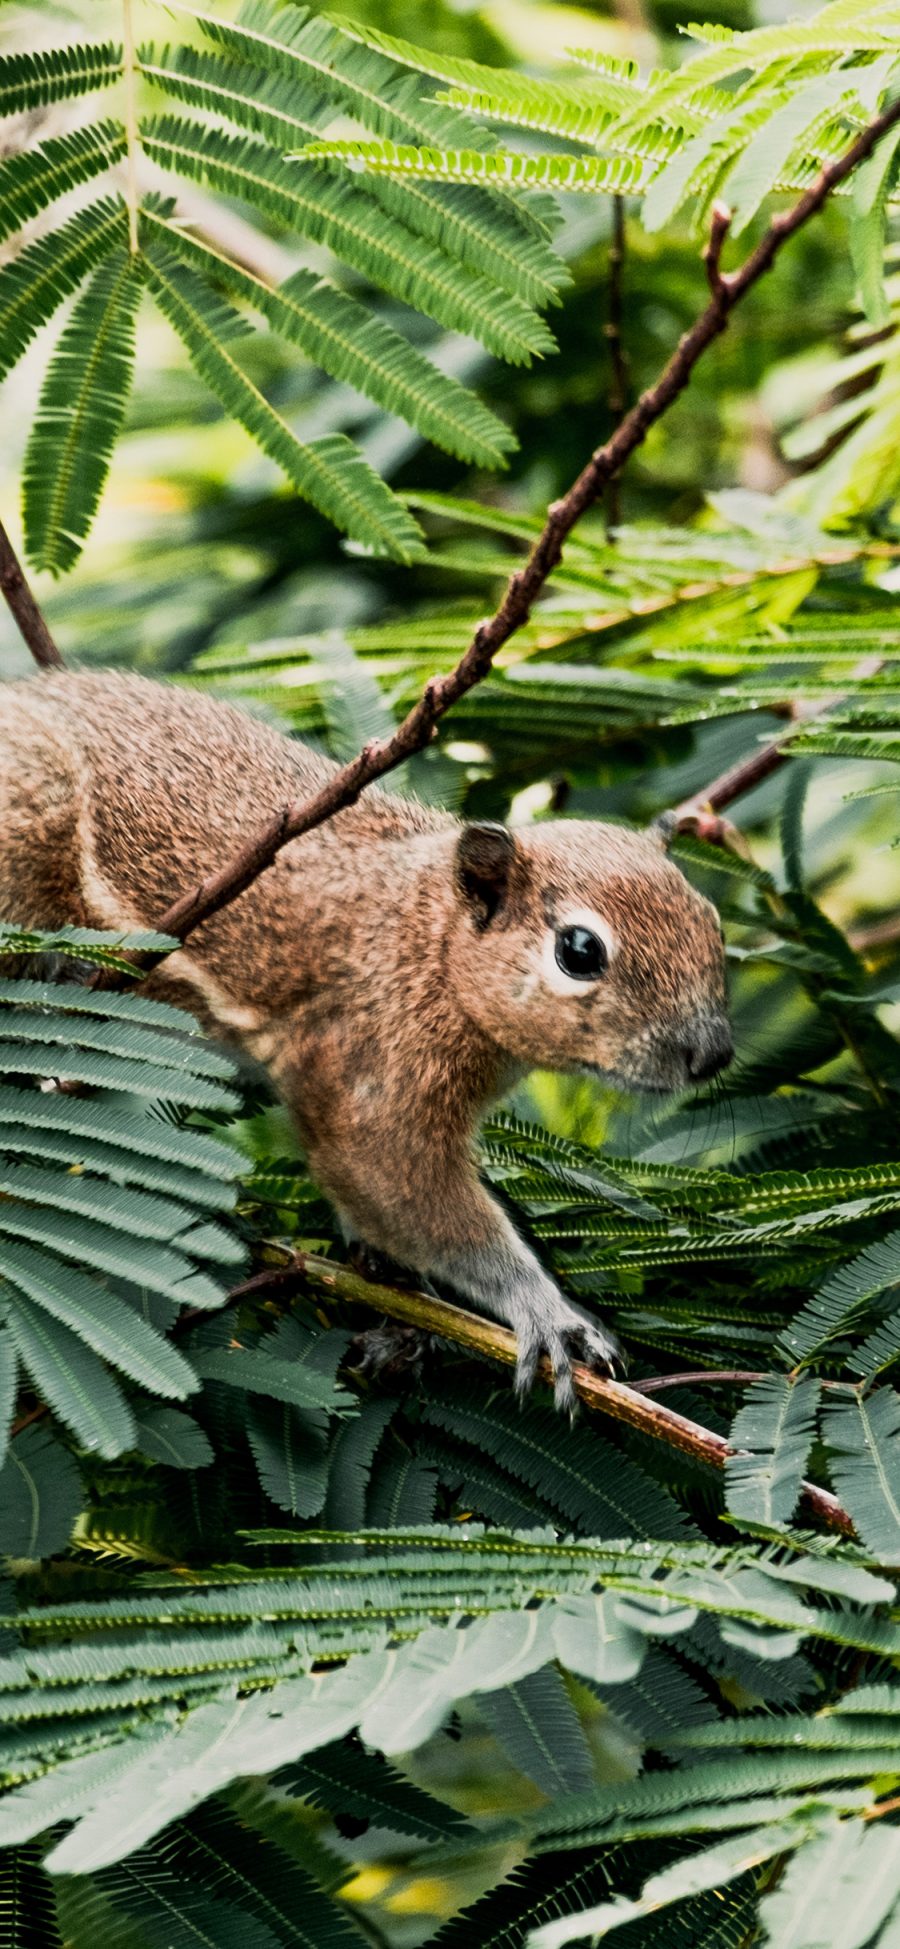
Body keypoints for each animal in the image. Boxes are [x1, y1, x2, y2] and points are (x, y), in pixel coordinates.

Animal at [0, 670, 732, 1403]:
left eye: (713, 920)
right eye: (579, 951)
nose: (713, 1053)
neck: (432, 941)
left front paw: (402, 1318)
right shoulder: (379, 1071)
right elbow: (407, 1193)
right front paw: (547, 1313)